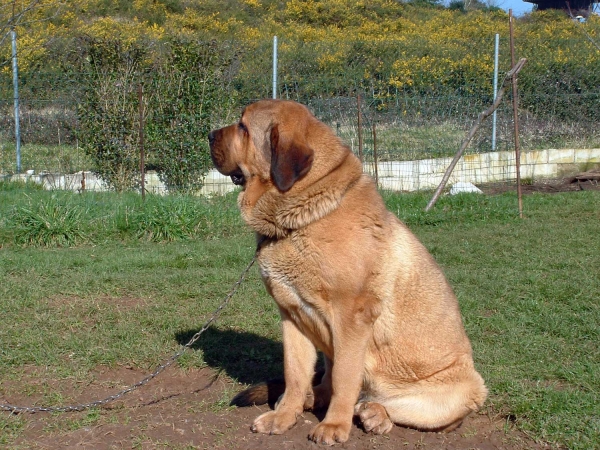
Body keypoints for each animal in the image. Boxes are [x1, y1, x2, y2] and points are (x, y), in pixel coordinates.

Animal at [209, 100, 486, 444]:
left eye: (243, 126)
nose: (209, 135)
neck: (302, 214)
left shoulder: (352, 317)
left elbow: (345, 377)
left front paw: (333, 425)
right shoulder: (292, 315)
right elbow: (295, 374)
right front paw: (284, 416)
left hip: (468, 389)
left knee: (405, 409)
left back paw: (374, 415)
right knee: (323, 383)